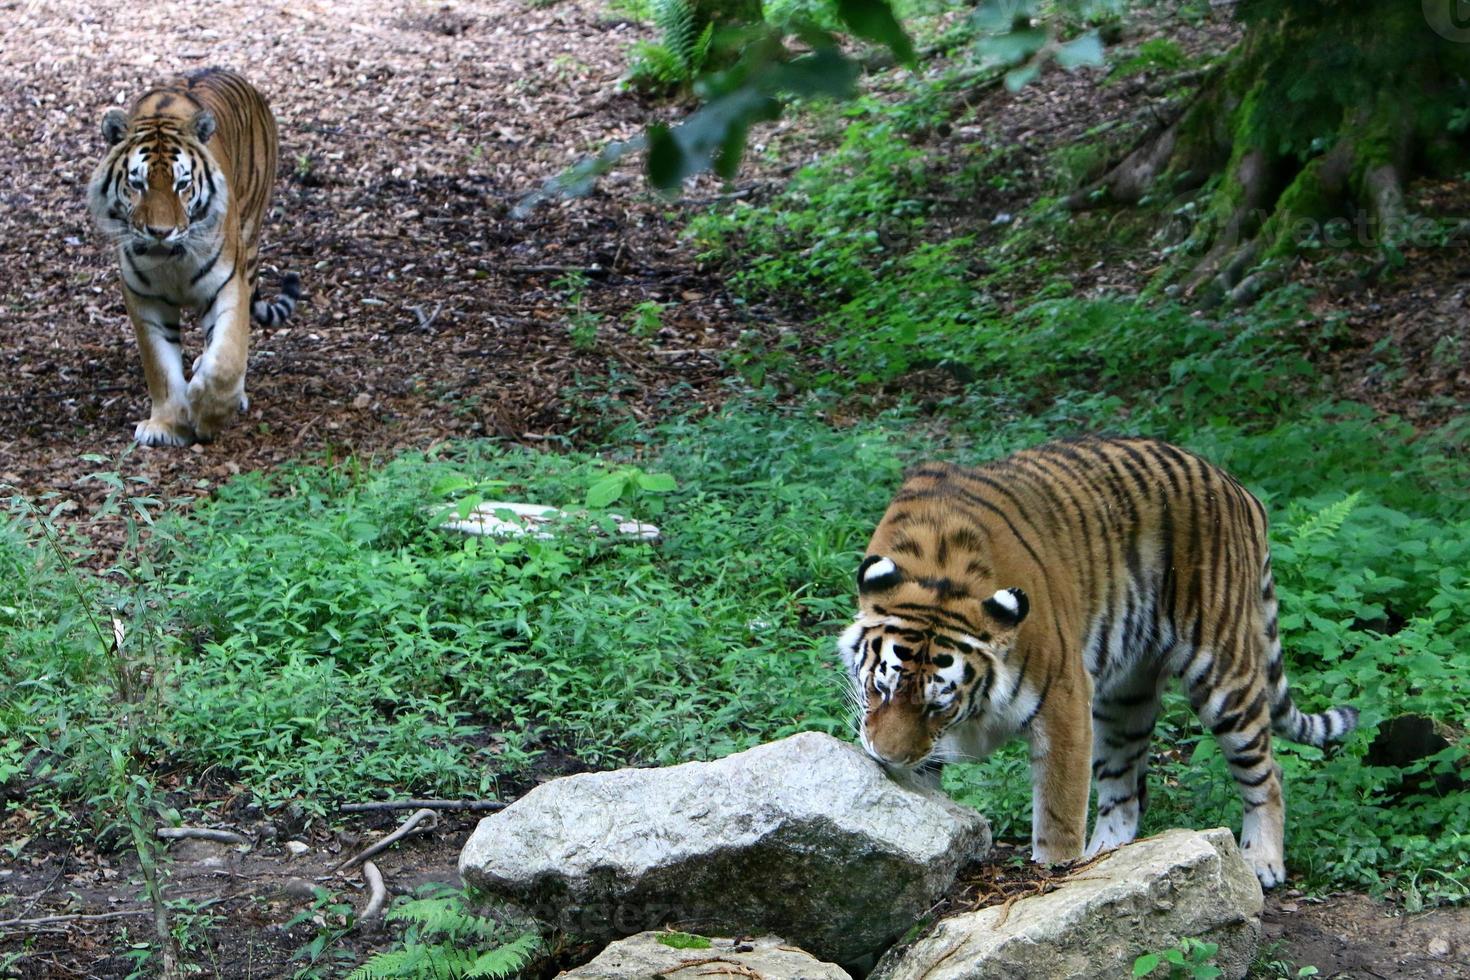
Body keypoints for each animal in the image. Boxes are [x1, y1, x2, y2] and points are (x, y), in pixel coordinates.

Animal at [87, 69, 296, 449]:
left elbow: (226, 359)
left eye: (182, 183)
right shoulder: (145, 300)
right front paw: (166, 425)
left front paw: (209, 411)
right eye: (136, 184)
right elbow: (160, 367)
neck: (171, 260)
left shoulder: (228, 285)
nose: (160, 231)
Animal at [840, 437, 1352, 887]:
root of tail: (1238, 488)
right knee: (1127, 793)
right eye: (880, 689)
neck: (938, 578)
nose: (887, 759)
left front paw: (1053, 876)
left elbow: (1059, 813)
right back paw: (1109, 859)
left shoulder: (1063, 702)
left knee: (1269, 773)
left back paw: (1263, 861)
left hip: (1223, 674)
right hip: (1124, 701)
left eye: (938, 705)